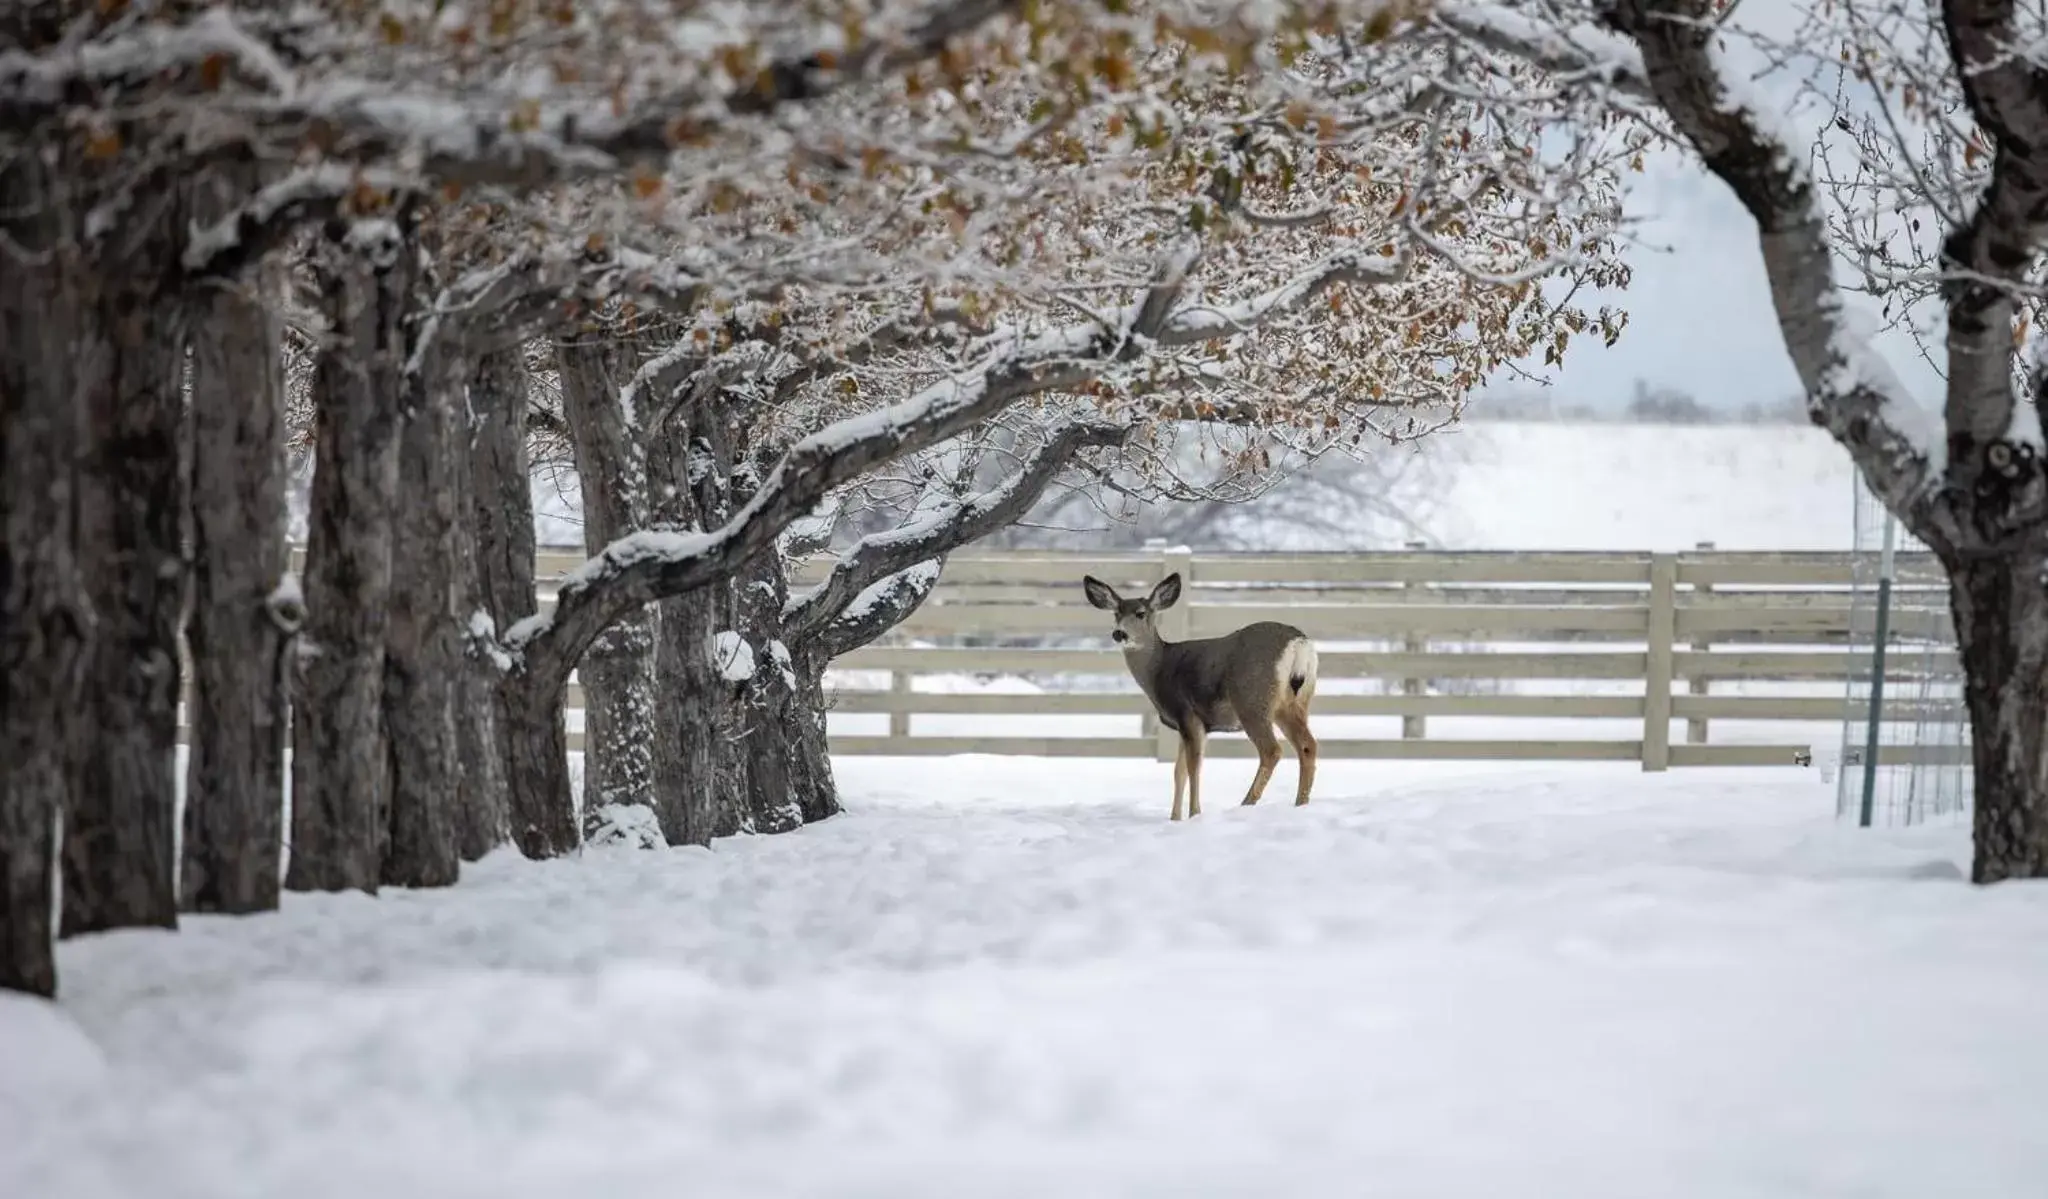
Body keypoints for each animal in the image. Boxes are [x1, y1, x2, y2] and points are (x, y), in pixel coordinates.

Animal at [1081, 573, 1318, 819]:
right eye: (1116, 613)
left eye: (1140, 613)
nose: (1119, 633)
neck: (1159, 669)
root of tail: (1299, 643)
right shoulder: (1185, 724)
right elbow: (1179, 771)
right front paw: (1174, 818)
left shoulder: (1187, 713)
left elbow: (1193, 767)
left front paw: (1194, 814)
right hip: (1294, 702)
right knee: (1307, 745)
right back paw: (1301, 803)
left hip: (1251, 700)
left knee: (1272, 750)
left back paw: (1247, 802)